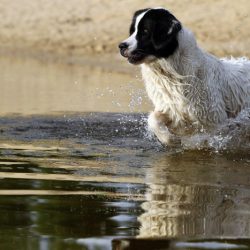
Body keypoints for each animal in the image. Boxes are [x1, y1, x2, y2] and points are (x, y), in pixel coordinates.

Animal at [118, 7, 250, 146]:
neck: (171, 73)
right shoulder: (170, 108)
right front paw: (170, 140)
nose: (121, 46)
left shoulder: (214, 120)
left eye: (145, 32)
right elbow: (153, 119)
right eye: (132, 31)